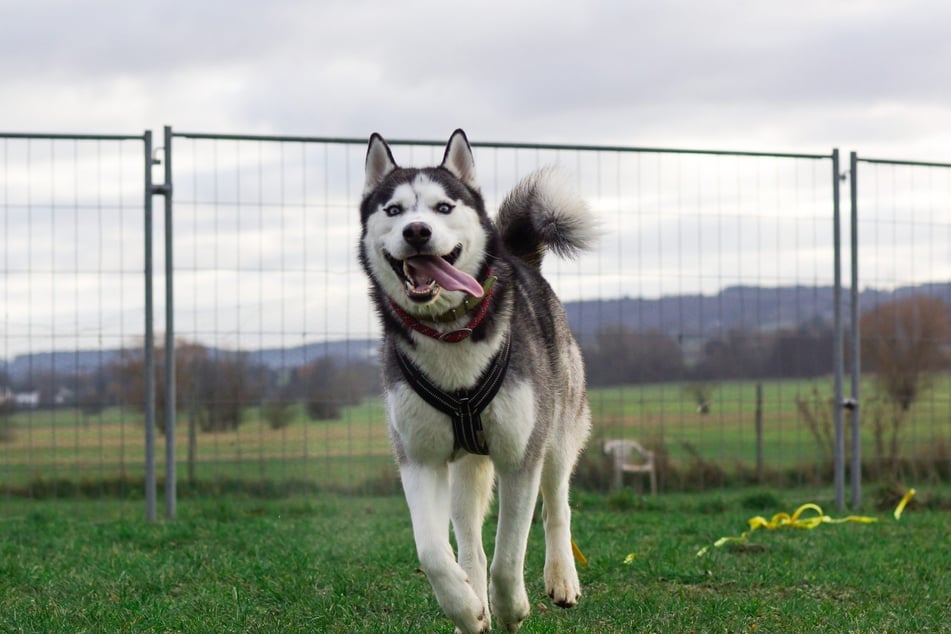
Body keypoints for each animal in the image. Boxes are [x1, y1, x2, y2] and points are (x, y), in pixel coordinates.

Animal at [358, 130, 596, 632]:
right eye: (394, 210)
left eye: (444, 207)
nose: (417, 231)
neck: (450, 334)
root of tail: (522, 260)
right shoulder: (419, 458)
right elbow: (433, 552)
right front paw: (468, 609)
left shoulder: (520, 456)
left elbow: (510, 555)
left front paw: (512, 609)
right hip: (464, 467)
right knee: (469, 542)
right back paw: (474, 599)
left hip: (559, 430)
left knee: (557, 503)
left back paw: (562, 578)